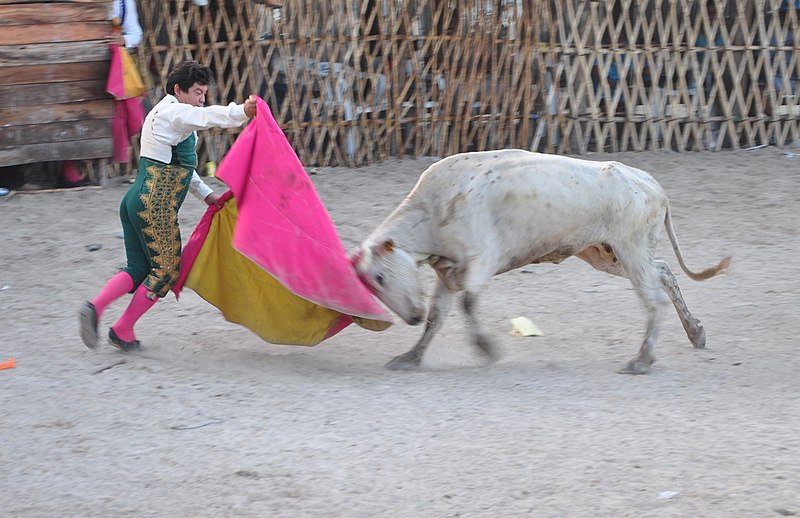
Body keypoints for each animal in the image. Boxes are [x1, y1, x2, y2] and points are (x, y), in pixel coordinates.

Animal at [356, 148, 732, 376]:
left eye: (380, 277)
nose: (410, 317)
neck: (433, 210)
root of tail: (651, 184)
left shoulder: (480, 260)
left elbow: (468, 304)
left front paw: (487, 349)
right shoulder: (448, 274)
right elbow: (437, 317)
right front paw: (410, 357)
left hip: (631, 247)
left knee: (654, 299)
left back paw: (641, 360)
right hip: (607, 253)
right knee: (665, 271)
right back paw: (695, 332)